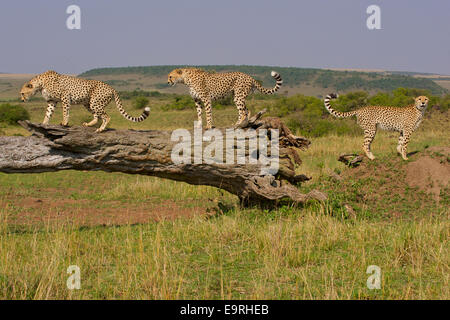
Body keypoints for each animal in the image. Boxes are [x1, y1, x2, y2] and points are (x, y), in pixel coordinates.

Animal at [20, 70, 150, 132]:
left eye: (22, 93)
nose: (21, 100)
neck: (40, 83)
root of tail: (111, 87)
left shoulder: (65, 96)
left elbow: (65, 111)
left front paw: (65, 123)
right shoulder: (52, 101)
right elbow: (48, 113)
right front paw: (44, 123)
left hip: (95, 103)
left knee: (106, 117)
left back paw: (101, 129)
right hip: (89, 103)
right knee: (97, 117)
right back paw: (88, 124)